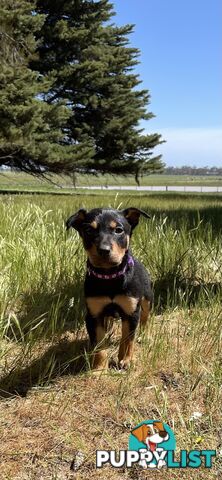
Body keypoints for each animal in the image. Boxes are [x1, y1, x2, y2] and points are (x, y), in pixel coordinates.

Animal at [66, 206, 153, 372]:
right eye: (88, 230)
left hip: (147, 300)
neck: (109, 277)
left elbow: (128, 339)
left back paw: (145, 336)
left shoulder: (131, 312)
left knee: (145, 318)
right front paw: (99, 368)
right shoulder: (94, 314)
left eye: (118, 230)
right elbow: (99, 344)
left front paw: (126, 360)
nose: (103, 250)